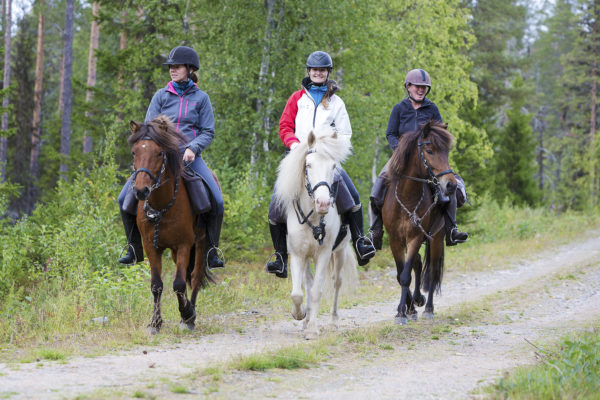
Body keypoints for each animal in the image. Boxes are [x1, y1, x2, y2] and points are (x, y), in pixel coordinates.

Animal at [129, 115, 213, 334]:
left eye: (159, 152)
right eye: (134, 152)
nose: (141, 190)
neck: (161, 206)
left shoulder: (184, 244)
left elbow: (179, 284)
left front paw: (187, 314)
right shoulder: (151, 246)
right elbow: (156, 285)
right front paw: (155, 323)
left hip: (200, 243)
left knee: (196, 276)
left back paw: (190, 314)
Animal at [274, 130, 358, 340]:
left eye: (333, 166)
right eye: (308, 165)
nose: (323, 203)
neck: (312, 216)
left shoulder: (324, 254)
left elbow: (316, 291)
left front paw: (312, 329)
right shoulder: (298, 255)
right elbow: (298, 293)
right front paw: (300, 315)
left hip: (340, 251)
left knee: (337, 282)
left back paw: (333, 322)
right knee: (308, 282)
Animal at [382, 121, 458, 324]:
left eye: (447, 151)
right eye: (429, 150)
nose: (451, 185)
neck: (407, 197)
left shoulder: (415, 237)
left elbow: (406, 275)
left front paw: (402, 312)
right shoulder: (395, 240)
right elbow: (401, 274)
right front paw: (406, 309)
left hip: (436, 238)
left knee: (432, 272)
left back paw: (428, 308)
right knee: (417, 265)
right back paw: (415, 303)